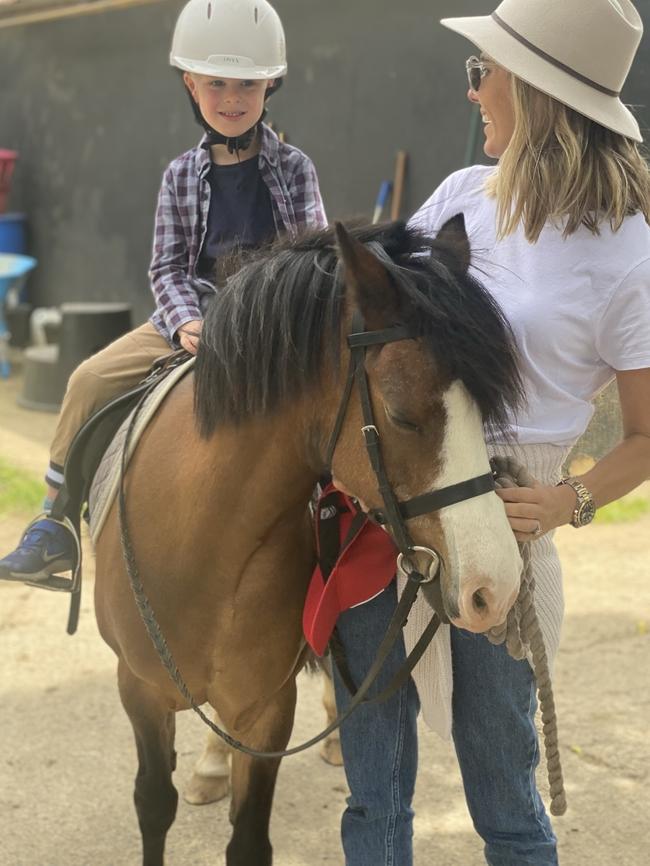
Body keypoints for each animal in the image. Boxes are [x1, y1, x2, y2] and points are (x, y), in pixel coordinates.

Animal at [95, 218, 520, 864]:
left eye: (485, 409)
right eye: (403, 416)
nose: (494, 588)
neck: (201, 547)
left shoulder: (268, 708)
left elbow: (248, 837)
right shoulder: (137, 690)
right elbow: (153, 803)